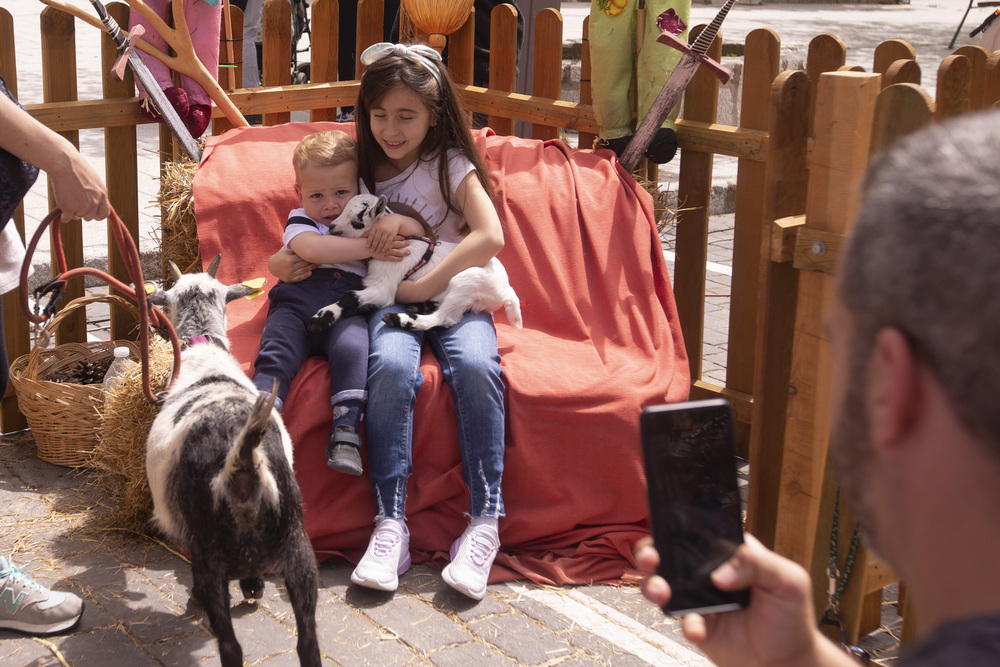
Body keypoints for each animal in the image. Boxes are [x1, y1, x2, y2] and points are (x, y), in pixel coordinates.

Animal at [146, 254, 318, 667]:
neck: (204, 354)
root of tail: (242, 460)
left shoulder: (194, 541)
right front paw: (254, 587)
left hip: (211, 553)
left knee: (230, 646)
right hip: (298, 549)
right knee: (307, 643)